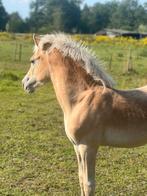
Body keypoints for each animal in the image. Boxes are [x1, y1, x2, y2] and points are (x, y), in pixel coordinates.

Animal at [21, 33, 147, 194]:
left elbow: (89, 184)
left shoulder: (87, 147)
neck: (81, 98)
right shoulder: (77, 147)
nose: (25, 83)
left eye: (33, 61)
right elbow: (81, 179)